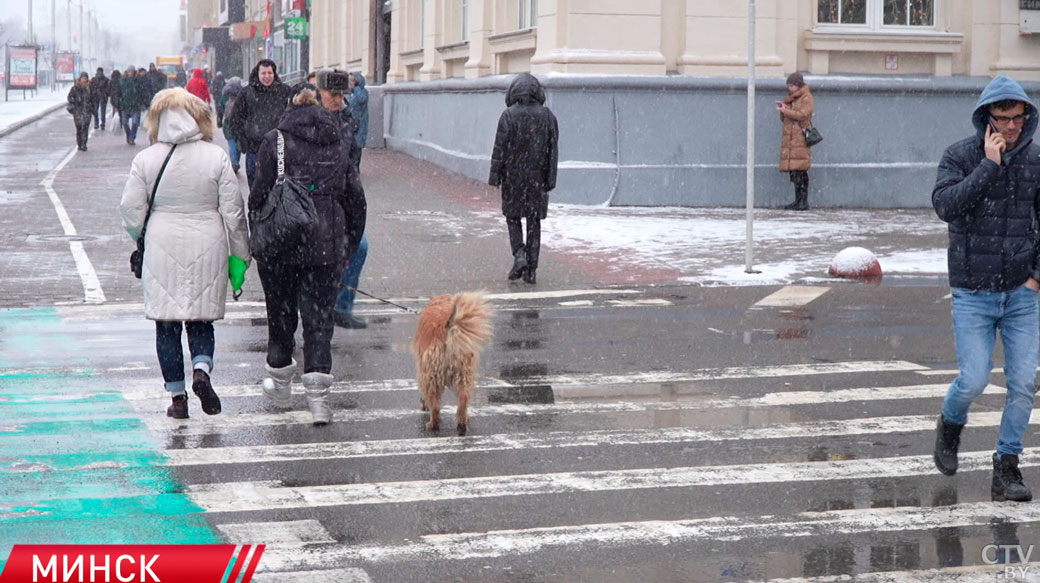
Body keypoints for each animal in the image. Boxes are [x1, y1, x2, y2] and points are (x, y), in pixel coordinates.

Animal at [411, 293, 492, 434]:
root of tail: (448, 328)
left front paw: (424, 404)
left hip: (430, 376)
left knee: (435, 406)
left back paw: (433, 424)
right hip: (464, 375)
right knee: (463, 400)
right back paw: (462, 424)